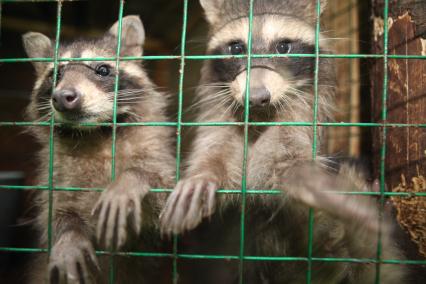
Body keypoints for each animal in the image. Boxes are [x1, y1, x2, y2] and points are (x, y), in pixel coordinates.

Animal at [22, 16, 173, 284]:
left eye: (102, 70)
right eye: (56, 74)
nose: (62, 97)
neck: (95, 133)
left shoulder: (154, 149)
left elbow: (160, 191)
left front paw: (129, 181)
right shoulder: (56, 171)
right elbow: (55, 211)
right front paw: (68, 234)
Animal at [160, 1, 406, 282]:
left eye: (283, 46)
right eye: (237, 48)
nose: (256, 97)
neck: (259, 117)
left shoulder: (300, 115)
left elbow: (288, 160)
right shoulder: (219, 112)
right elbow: (215, 148)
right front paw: (204, 175)